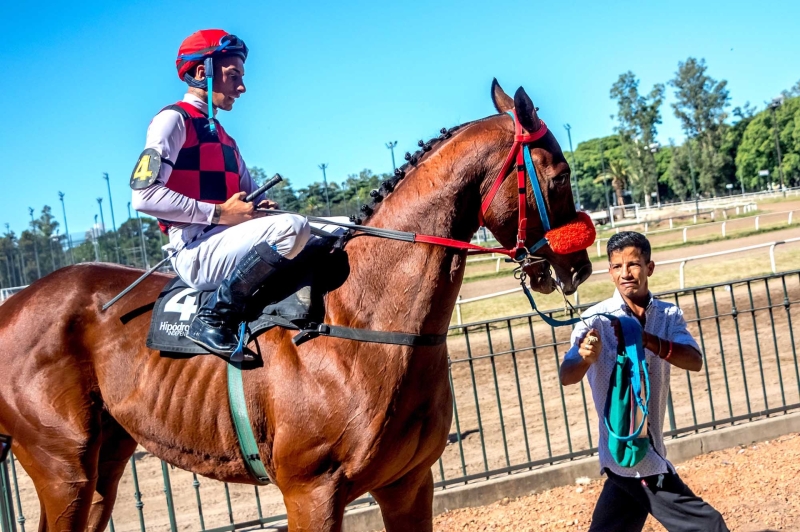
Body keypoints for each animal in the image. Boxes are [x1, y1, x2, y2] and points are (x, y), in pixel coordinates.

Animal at [0, 80, 592, 532]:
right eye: (560, 176)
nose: (579, 267)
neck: (361, 322)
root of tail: (16, 304)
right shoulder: (310, 493)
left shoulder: (408, 483)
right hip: (62, 468)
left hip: (106, 459)